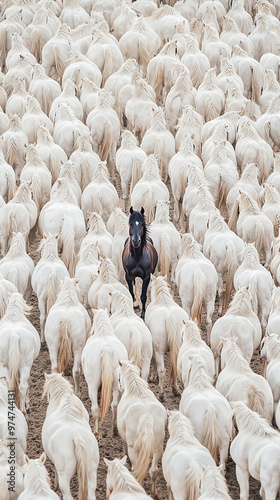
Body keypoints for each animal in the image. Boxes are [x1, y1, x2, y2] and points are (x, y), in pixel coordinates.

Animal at [116, 360, 165, 496]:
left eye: (119, 377)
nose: (120, 387)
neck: (137, 391)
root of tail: (147, 417)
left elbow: (124, 445)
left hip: (135, 449)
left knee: (136, 471)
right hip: (158, 448)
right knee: (153, 471)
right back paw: (154, 494)